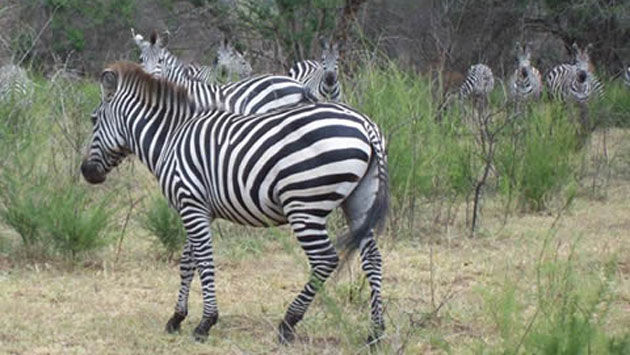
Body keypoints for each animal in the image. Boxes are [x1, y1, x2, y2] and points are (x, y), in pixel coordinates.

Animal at [81, 61, 390, 344]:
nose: (86, 172)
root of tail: (366, 125)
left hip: (304, 206)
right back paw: (375, 332)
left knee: (325, 260)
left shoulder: (190, 203)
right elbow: (188, 261)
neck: (170, 137)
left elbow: (204, 260)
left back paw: (287, 324)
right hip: (359, 201)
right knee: (372, 258)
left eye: (94, 120)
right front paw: (177, 317)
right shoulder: (199, 208)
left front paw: (205, 323)